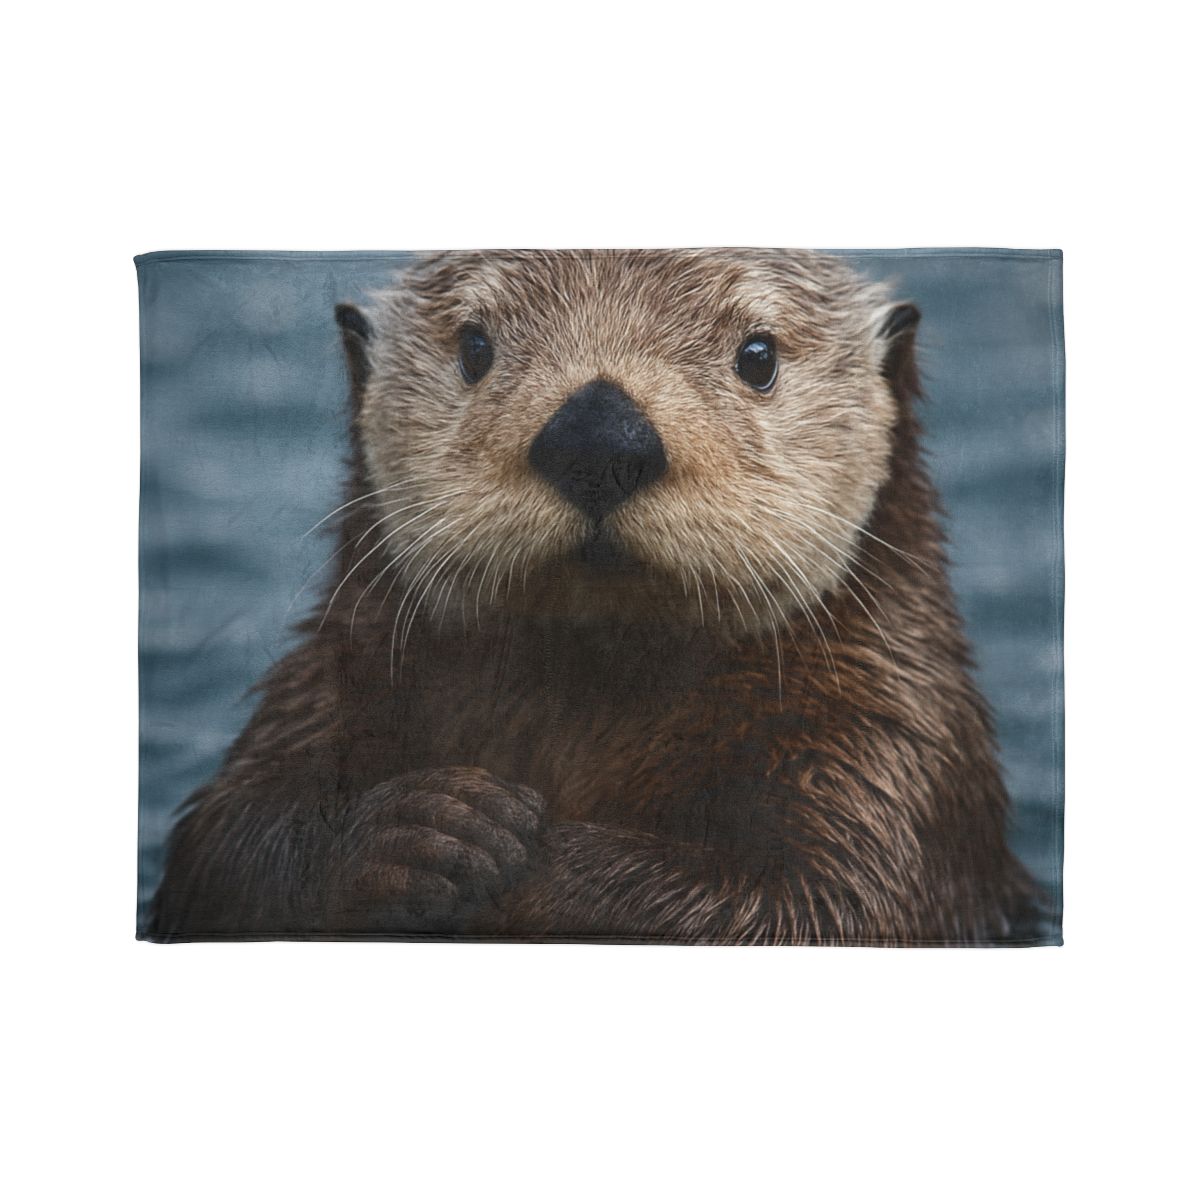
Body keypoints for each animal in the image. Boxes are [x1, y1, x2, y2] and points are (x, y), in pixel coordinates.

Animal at [148, 248, 1035, 944]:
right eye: (475, 346)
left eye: (757, 355)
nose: (600, 434)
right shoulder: (329, 684)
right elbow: (224, 853)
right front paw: (427, 831)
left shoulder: (887, 752)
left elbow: (828, 901)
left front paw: (531, 856)